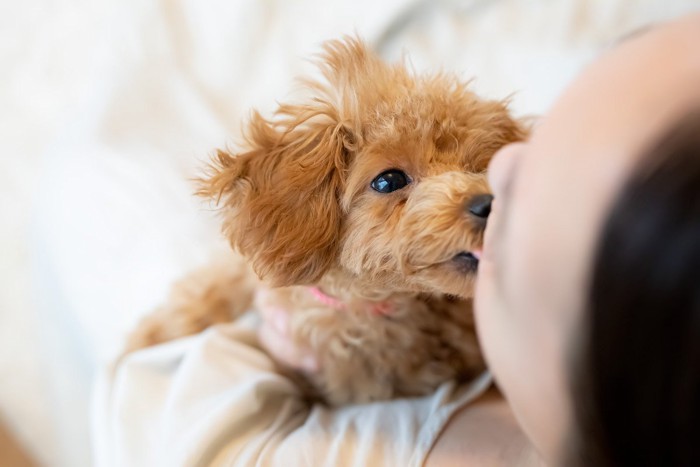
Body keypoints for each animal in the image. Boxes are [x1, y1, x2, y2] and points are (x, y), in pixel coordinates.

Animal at [126, 37, 524, 406]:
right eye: (388, 181)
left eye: (481, 168)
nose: (488, 204)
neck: (350, 299)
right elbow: (212, 287)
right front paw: (151, 335)